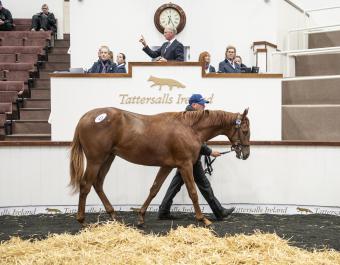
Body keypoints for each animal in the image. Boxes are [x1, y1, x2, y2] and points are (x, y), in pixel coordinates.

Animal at [69, 106, 250, 225]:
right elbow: (193, 192)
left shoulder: (167, 166)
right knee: (85, 185)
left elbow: (154, 189)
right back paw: (82, 220)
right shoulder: (185, 165)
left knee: (98, 184)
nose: (246, 154)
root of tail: (86, 117)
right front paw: (203, 219)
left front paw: (141, 217)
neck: (190, 128)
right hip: (95, 160)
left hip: (108, 158)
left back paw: (113, 215)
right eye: (245, 131)